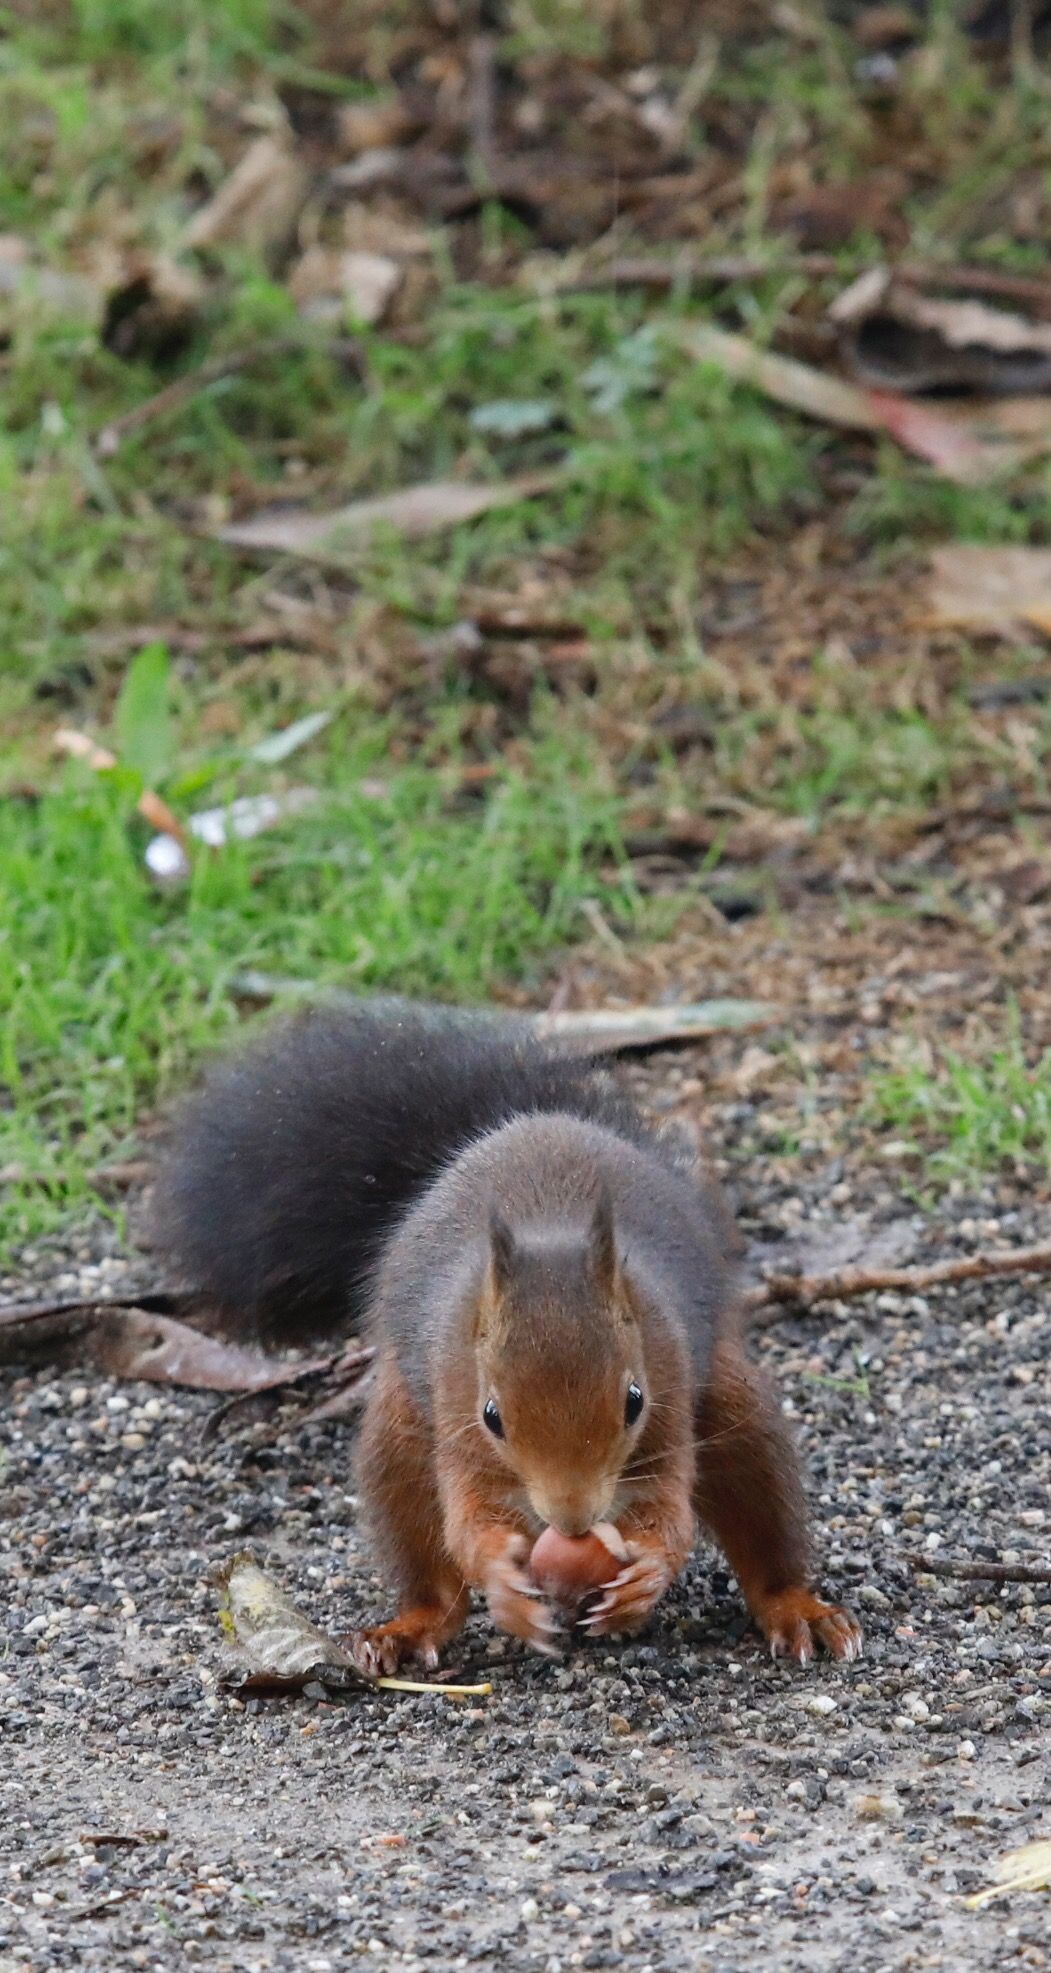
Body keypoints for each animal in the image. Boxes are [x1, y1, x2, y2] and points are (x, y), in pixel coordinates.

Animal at [155, 1010, 859, 1673]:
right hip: (399, 1436)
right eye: (492, 1415)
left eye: (634, 1400)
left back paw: (796, 1609)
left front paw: (643, 1578)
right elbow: (467, 1522)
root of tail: (521, 1124)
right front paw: (504, 1583)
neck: (551, 1240)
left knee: (761, 1514)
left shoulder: (670, 1389)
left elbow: (670, 1516)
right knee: (430, 1568)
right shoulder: (455, 1407)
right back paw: (409, 1629)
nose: (572, 1521)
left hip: (734, 1406)